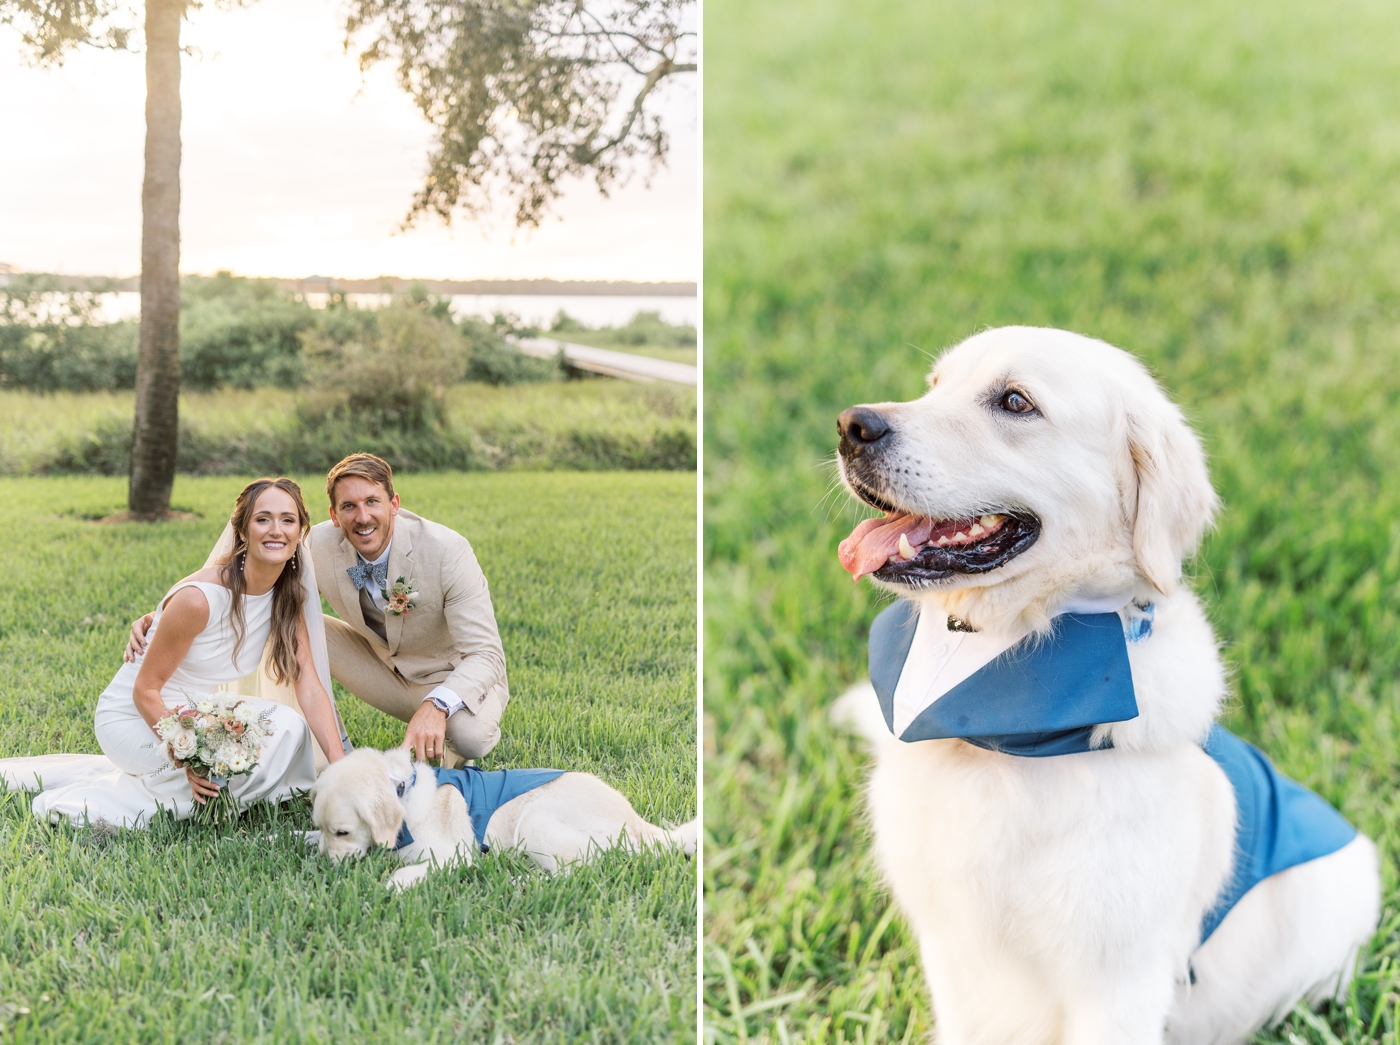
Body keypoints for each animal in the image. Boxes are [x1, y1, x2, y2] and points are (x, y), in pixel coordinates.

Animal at [310, 745, 694, 885]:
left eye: (343, 832)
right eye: (325, 829)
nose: (325, 864)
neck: (403, 791)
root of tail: (639, 824)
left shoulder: (455, 854)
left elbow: (403, 871)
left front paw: (389, 886)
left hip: (535, 820)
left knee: (575, 872)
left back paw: (520, 880)